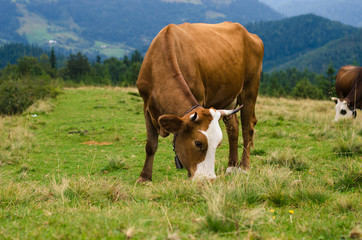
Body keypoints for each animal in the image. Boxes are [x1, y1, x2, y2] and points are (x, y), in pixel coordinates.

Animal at [136, 22, 264, 182]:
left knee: (248, 126)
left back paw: (244, 167)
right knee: (233, 127)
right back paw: (231, 167)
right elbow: (151, 145)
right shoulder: (146, 106)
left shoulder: (200, 98)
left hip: (250, 87)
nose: (208, 179)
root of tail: (249, 33)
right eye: (198, 143)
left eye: (217, 144)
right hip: (228, 97)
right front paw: (144, 178)